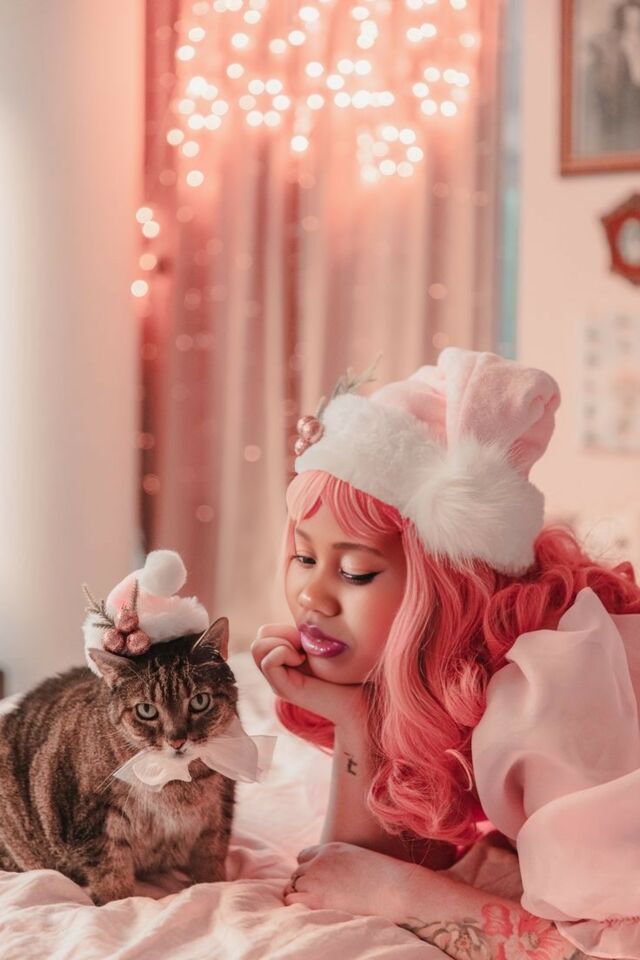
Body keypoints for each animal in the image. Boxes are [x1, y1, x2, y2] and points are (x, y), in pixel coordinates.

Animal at [0, 618, 236, 905]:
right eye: (146, 710)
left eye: (200, 701)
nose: (177, 740)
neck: (177, 782)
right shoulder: (93, 823)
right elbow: (111, 876)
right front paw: (119, 902)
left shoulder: (219, 811)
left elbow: (211, 860)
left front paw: (214, 886)